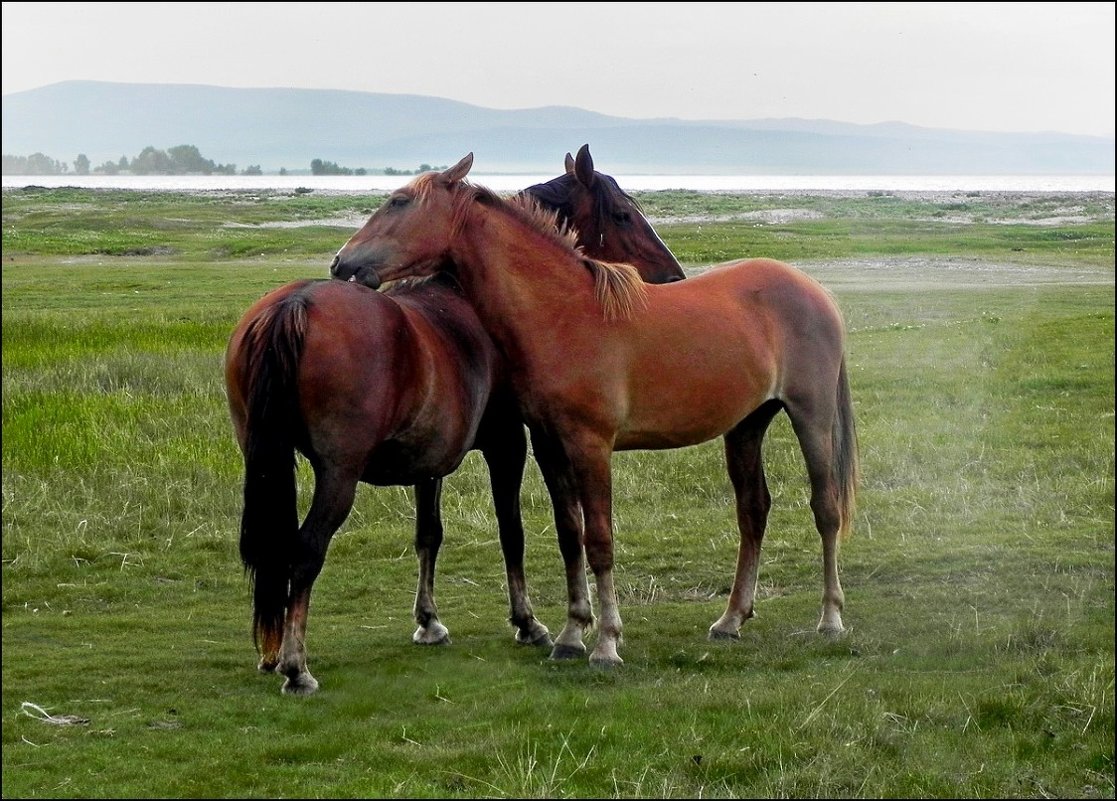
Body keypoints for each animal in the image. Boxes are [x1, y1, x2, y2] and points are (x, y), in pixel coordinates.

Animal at [225, 145, 679, 692]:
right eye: (622, 215)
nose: (672, 275)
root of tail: (294, 304)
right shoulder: (511, 444)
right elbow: (513, 530)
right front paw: (528, 622)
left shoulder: (430, 459)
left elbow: (429, 534)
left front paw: (428, 621)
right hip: (339, 474)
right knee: (306, 550)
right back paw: (296, 665)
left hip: (267, 461)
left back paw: (273, 654)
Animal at [326, 153, 857, 665]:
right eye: (622, 213)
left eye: (398, 202)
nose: (340, 264)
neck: (565, 315)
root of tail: (812, 289)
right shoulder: (550, 447)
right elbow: (570, 537)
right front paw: (570, 634)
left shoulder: (590, 447)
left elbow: (599, 541)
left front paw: (605, 643)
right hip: (746, 426)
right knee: (753, 511)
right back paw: (731, 619)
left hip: (810, 417)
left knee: (826, 508)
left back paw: (831, 618)